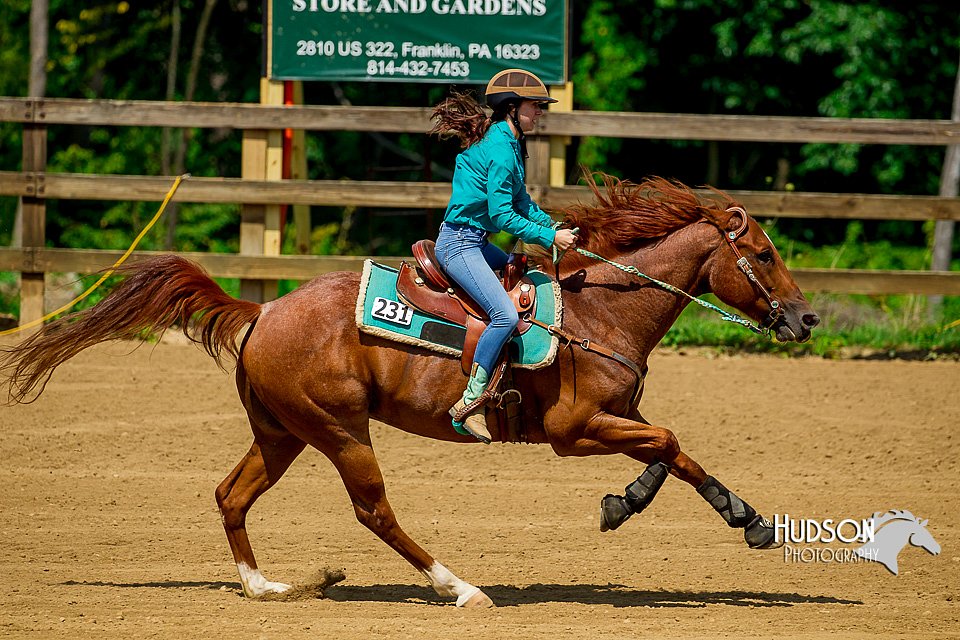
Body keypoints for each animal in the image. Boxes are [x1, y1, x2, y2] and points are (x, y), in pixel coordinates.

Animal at [3, 176, 820, 608]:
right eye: (763, 254)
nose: (806, 318)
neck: (601, 312)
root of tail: (263, 311)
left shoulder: (621, 415)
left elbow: (671, 453)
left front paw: (661, 505)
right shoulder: (574, 428)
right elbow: (674, 442)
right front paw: (735, 517)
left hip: (281, 433)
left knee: (230, 495)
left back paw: (265, 587)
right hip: (339, 432)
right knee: (374, 512)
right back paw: (458, 586)